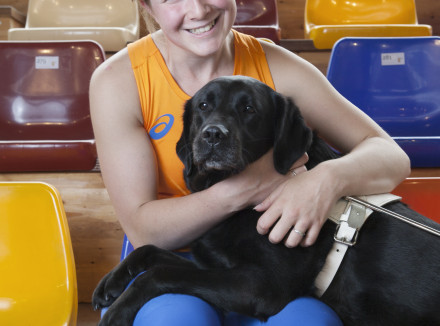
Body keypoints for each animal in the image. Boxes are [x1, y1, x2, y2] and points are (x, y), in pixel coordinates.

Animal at [93, 75, 440, 324]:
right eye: (203, 106)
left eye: (249, 110)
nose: (212, 135)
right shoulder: (212, 262)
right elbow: (150, 251)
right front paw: (110, 284)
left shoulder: (259, 285)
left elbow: (159, 274)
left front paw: (118, 312)